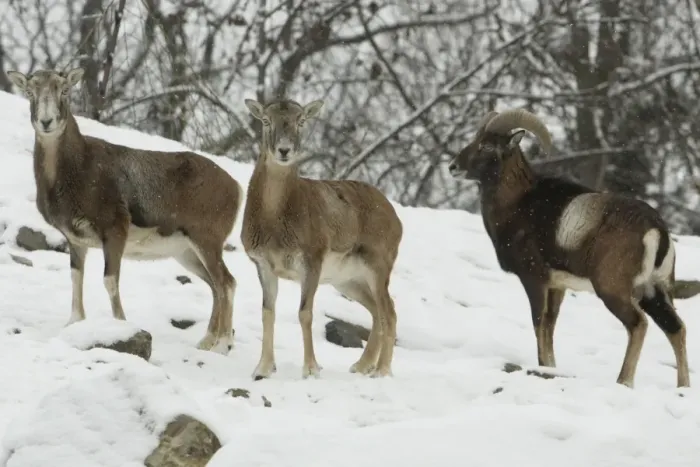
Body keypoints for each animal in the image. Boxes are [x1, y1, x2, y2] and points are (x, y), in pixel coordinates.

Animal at [7, 67, 243, 354]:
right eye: (30, 92)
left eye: (64, 90)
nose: (46, 122)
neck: (75, 171)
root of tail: (236, 188)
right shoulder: (76, 242)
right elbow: (76, 278)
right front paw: (74, 323)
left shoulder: (114, 233)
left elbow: (110, 281)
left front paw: (120, 325)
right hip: (187, 254)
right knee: (215, 287)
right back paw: (206, 342)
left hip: (206, 243)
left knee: (226, 283)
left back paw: (222, 346)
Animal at [241, 98, 403, 380]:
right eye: (266, 120)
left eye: (301, 120)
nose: (284, 150)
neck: (274, 220)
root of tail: (396, 219)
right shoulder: (264, 266)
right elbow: (267, 312)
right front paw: (262, 370)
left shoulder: (311, 264)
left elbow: (305, 313)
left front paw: (311, 370)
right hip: (348, 281)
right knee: (376, 311)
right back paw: (361, 366)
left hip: (378, 269)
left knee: (389, 312)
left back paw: (381, 371)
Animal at [447, 108, 689, 388]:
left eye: (487, 145)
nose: (453, 167)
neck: (517, 204)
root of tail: (656, 230)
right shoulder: (557, 287)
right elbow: (550, 326)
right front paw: (551, 368)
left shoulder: (535, 280)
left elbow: (539, 323)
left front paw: (543, 367)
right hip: (654, 291)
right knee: (676, 328)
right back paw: (683, 386)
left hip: (613, 290)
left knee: (638, 324)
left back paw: (623, 381)